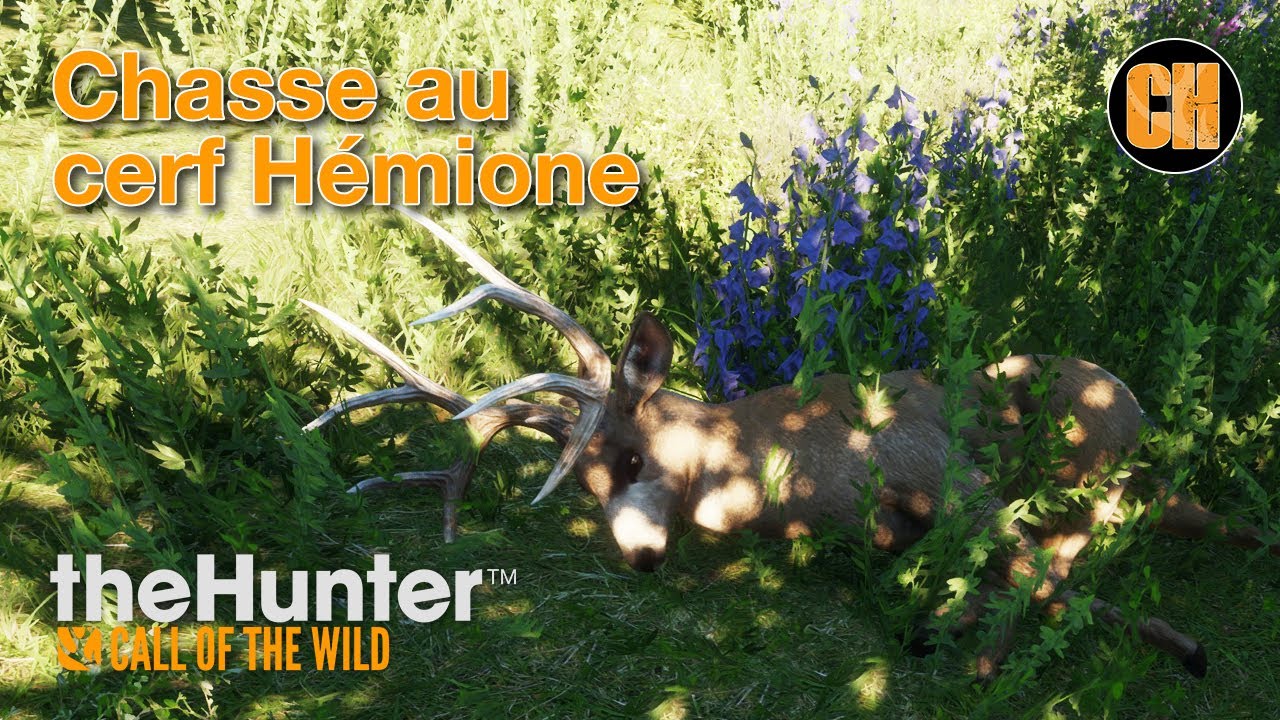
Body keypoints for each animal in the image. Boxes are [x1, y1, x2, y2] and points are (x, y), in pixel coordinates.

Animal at [301, 206, 1277, 681]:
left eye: (630, 459)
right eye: (583, 488)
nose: (642, 557)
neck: (792, 469)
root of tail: (1137, 398)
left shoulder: (944, 466)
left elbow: (1040, 574)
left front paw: (1184, 649)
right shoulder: (907, 516)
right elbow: (1015, 568)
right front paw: (958, 633)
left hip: (1095, 453)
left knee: (1125, 522)